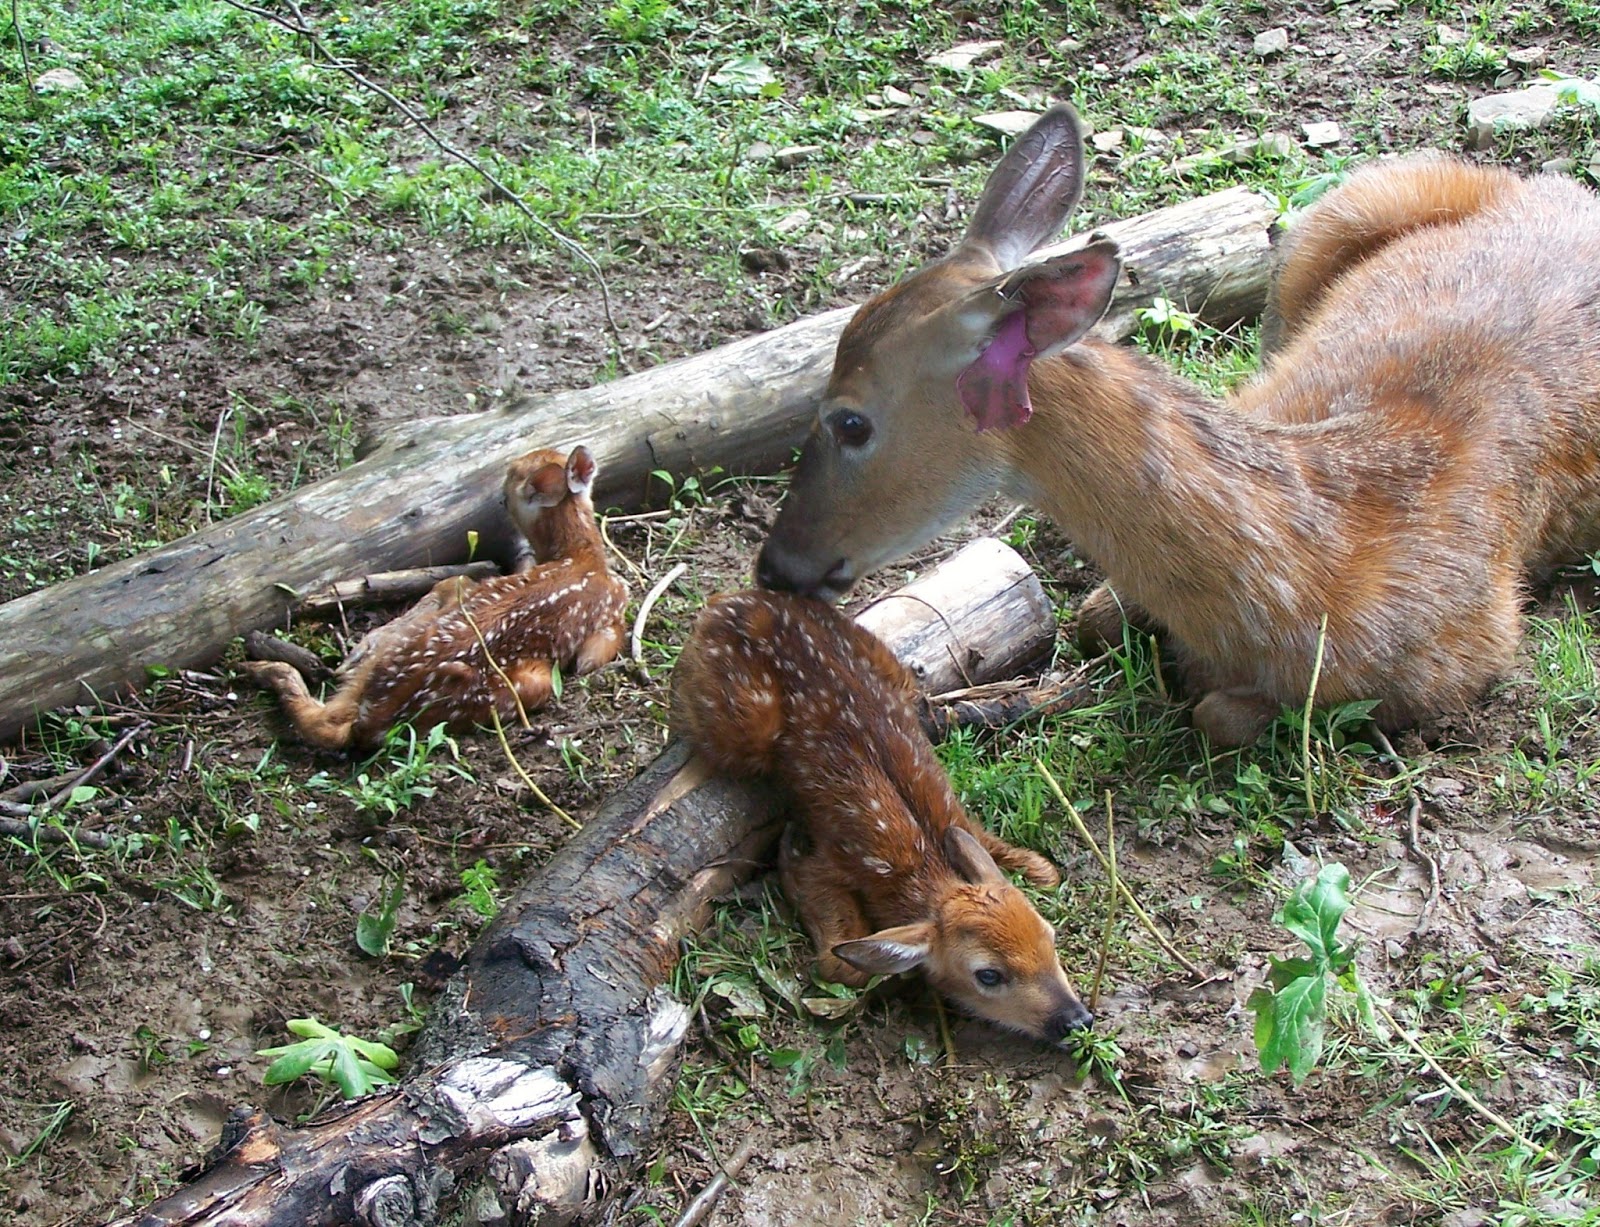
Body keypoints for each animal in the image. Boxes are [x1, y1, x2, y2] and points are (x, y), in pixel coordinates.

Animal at [242, 446, 628, 752]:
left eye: (513, 475)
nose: (502, 476)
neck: (580, 555)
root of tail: (373, 713)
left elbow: (452, 582)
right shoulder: (613, 606)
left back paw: (273, 667)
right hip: (528, 685)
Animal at [672, 588, 1093, 1044]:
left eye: (1050, 936)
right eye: (988, 975)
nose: (1076, 1019)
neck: (922, 867)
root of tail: (737, 598)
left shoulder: (963, 826)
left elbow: (1045, 870)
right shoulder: (832, 861)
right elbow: (839, 962)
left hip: (893, 669)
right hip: (742, 727)